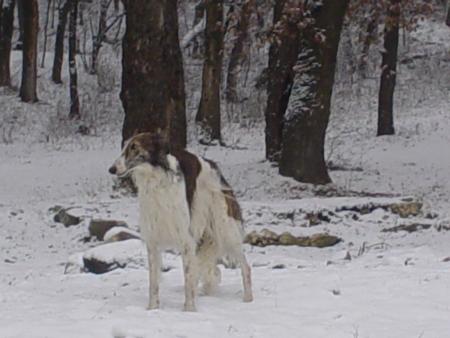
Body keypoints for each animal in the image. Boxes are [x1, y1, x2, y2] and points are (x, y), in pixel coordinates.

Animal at [107, 132, 251, 312]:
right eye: (125, 146)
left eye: (134, 147)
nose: (112, 169)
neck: (156, 181)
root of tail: (214, 168)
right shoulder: (153, 240)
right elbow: (154, 281)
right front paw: (152, 308)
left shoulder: (186, 239)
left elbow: (188, 277)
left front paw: (189, 310)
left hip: (225, 228)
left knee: (246, 267)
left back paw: (248, 298)